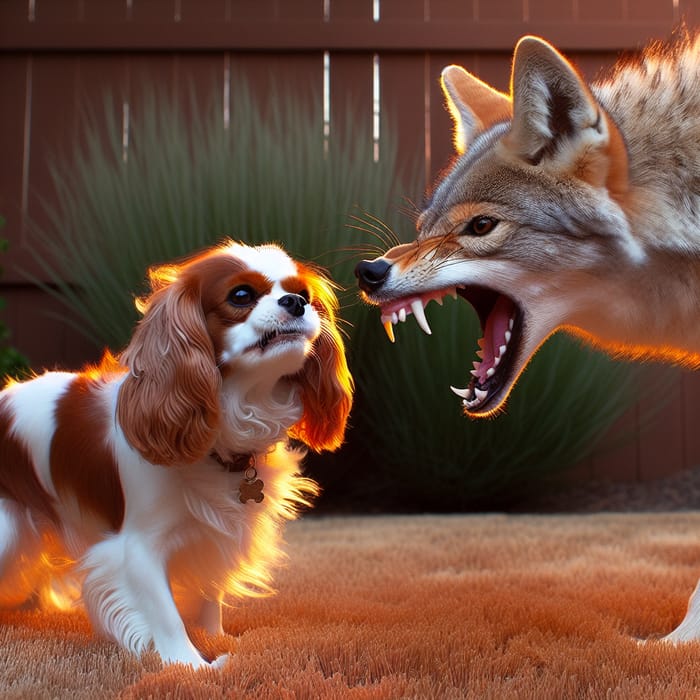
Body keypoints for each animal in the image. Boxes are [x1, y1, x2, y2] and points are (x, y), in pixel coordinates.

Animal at [0, 241, 350, 668]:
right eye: (241, 295)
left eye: (304, 293)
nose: (296, 302)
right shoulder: (138, 548)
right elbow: (164, 613)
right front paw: (193, 666)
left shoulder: (217, 532)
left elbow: (210, 591)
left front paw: (215, 637)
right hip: (6, 530)